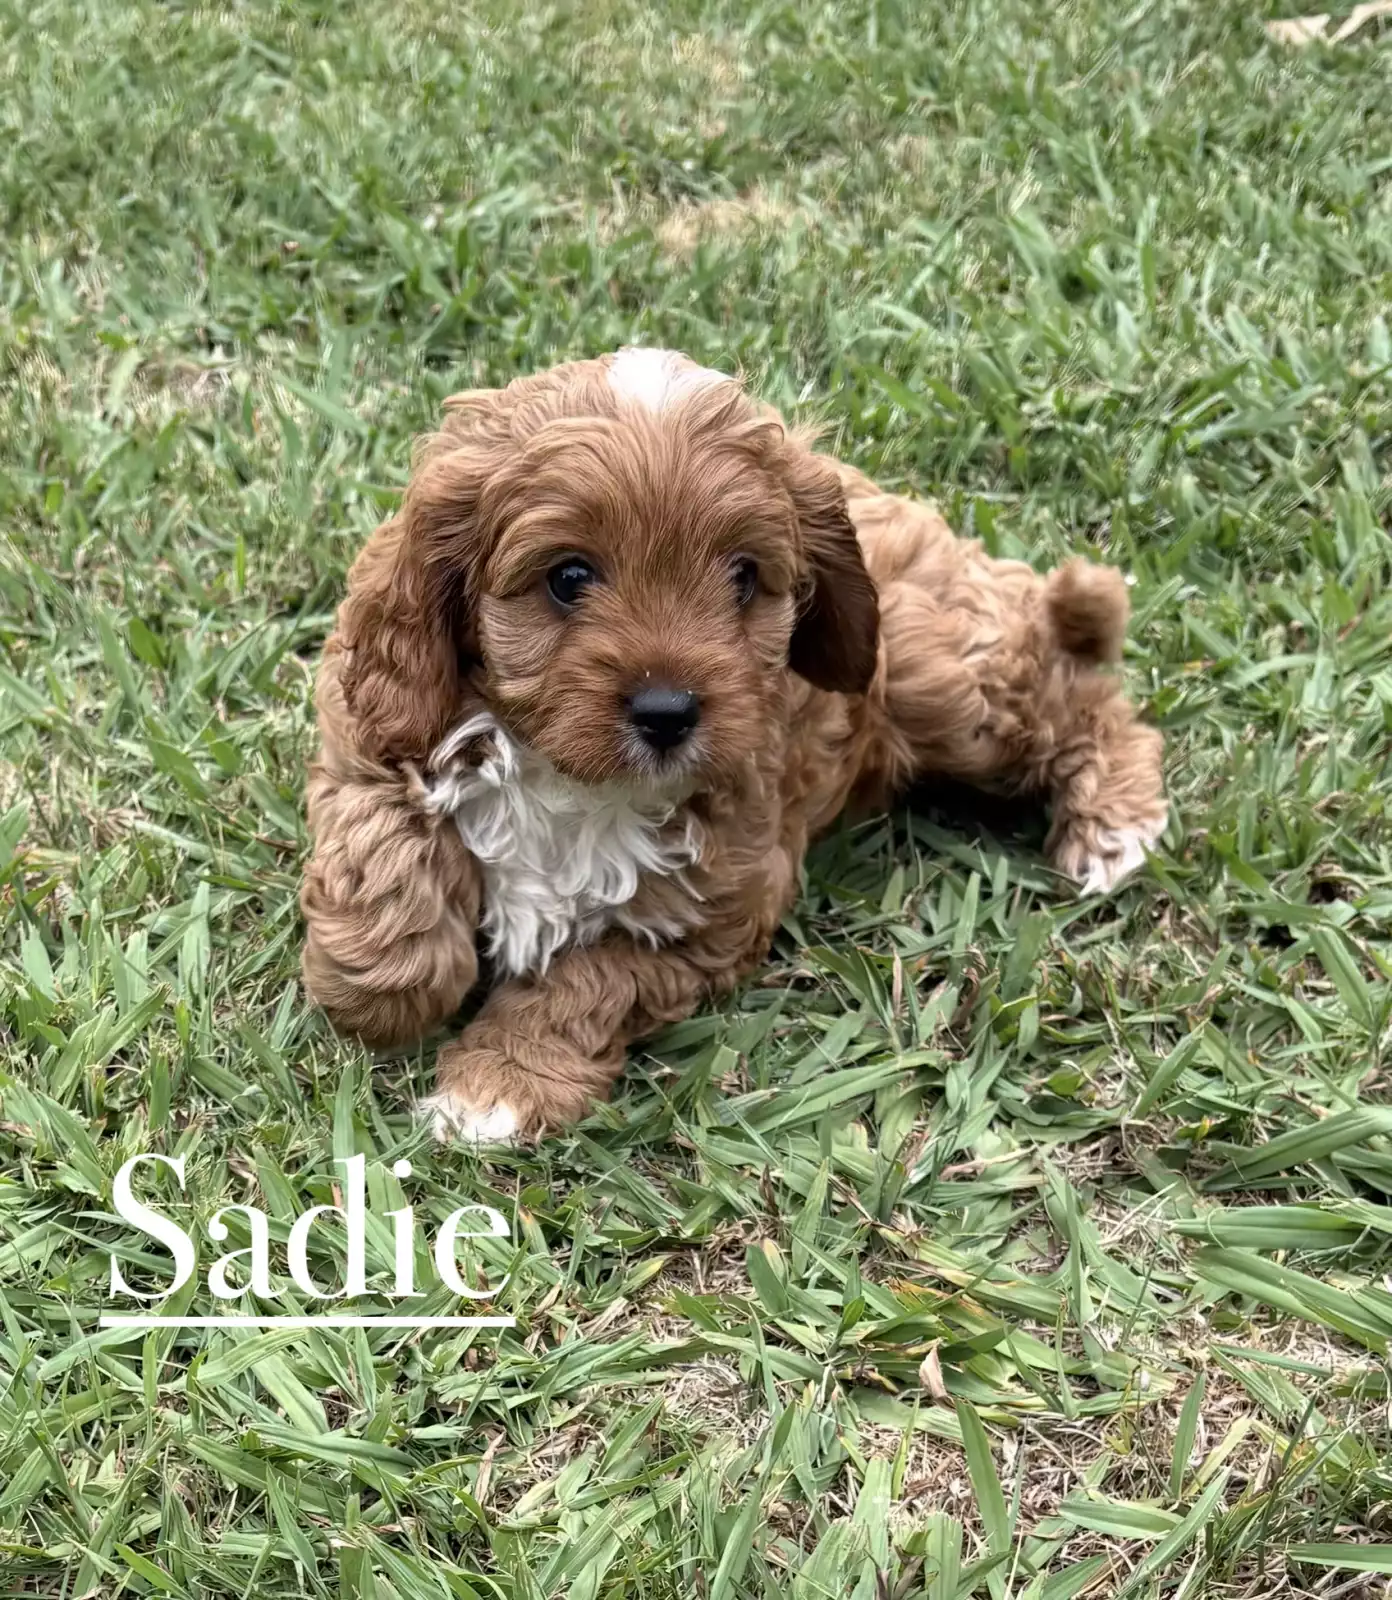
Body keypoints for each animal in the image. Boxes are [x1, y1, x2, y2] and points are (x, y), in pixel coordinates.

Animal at [300, 349, 1166, 1141]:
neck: (578, 784)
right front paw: (385, 989)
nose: (667, 712)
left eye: (744, 577)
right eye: (568, 577)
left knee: (1085, 701)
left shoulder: (718, 912)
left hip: (940, 682)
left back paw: (1114, 824)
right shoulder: (369, 718)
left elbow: (591, 978)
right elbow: (380, 839)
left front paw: (497, 1086)